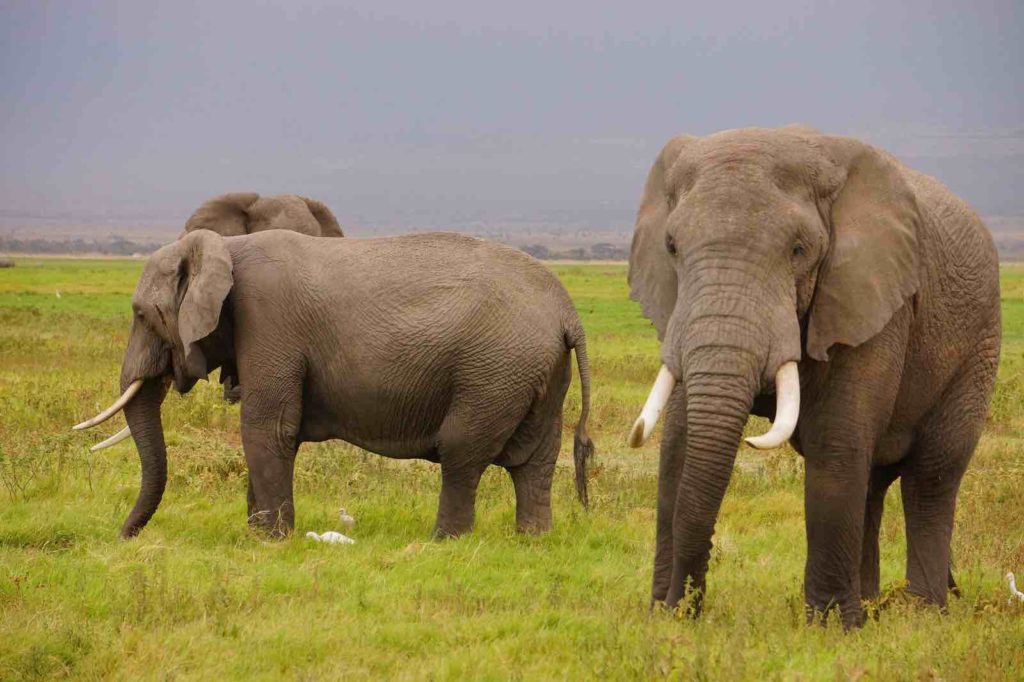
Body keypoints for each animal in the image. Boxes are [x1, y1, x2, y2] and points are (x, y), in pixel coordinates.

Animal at [72, 231, 598, 540]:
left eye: (142, 314)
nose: (122, 537)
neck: (226, 246)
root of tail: (568, 312)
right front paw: (256, 534)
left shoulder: (269, 322)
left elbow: (267, 428)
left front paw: (270, 542)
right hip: (536, 371)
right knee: (534, 460)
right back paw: (532, 542)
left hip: (494, 371)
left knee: (462, 453)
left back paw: (442, 544)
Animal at [622, 125, 999, 626]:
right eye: (671, 248)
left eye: (798, 251)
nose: (681, 604)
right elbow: (680, 444)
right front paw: (664, 618)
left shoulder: (869, 296)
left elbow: (835, 443)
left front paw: (828, 629)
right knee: (872, 481)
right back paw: (872, 611)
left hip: (979, 344)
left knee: (931, 477)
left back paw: (921, 615)